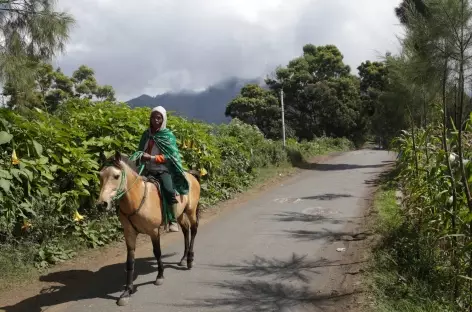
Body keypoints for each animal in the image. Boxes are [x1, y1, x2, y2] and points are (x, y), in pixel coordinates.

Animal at [97, 152, 202, 306]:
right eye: (100, 175)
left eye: (116, 176)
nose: (102, 204)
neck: (137, 199)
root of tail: (190, 174)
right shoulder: (129, 234)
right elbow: (130, 261)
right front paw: (127, 292)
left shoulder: (153, 231)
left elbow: (157, 253)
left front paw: (160, 276)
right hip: (180, 214)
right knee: (185, 230)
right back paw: (183, 258)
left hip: (191, 210)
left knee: (193, 230)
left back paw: (189, 260)